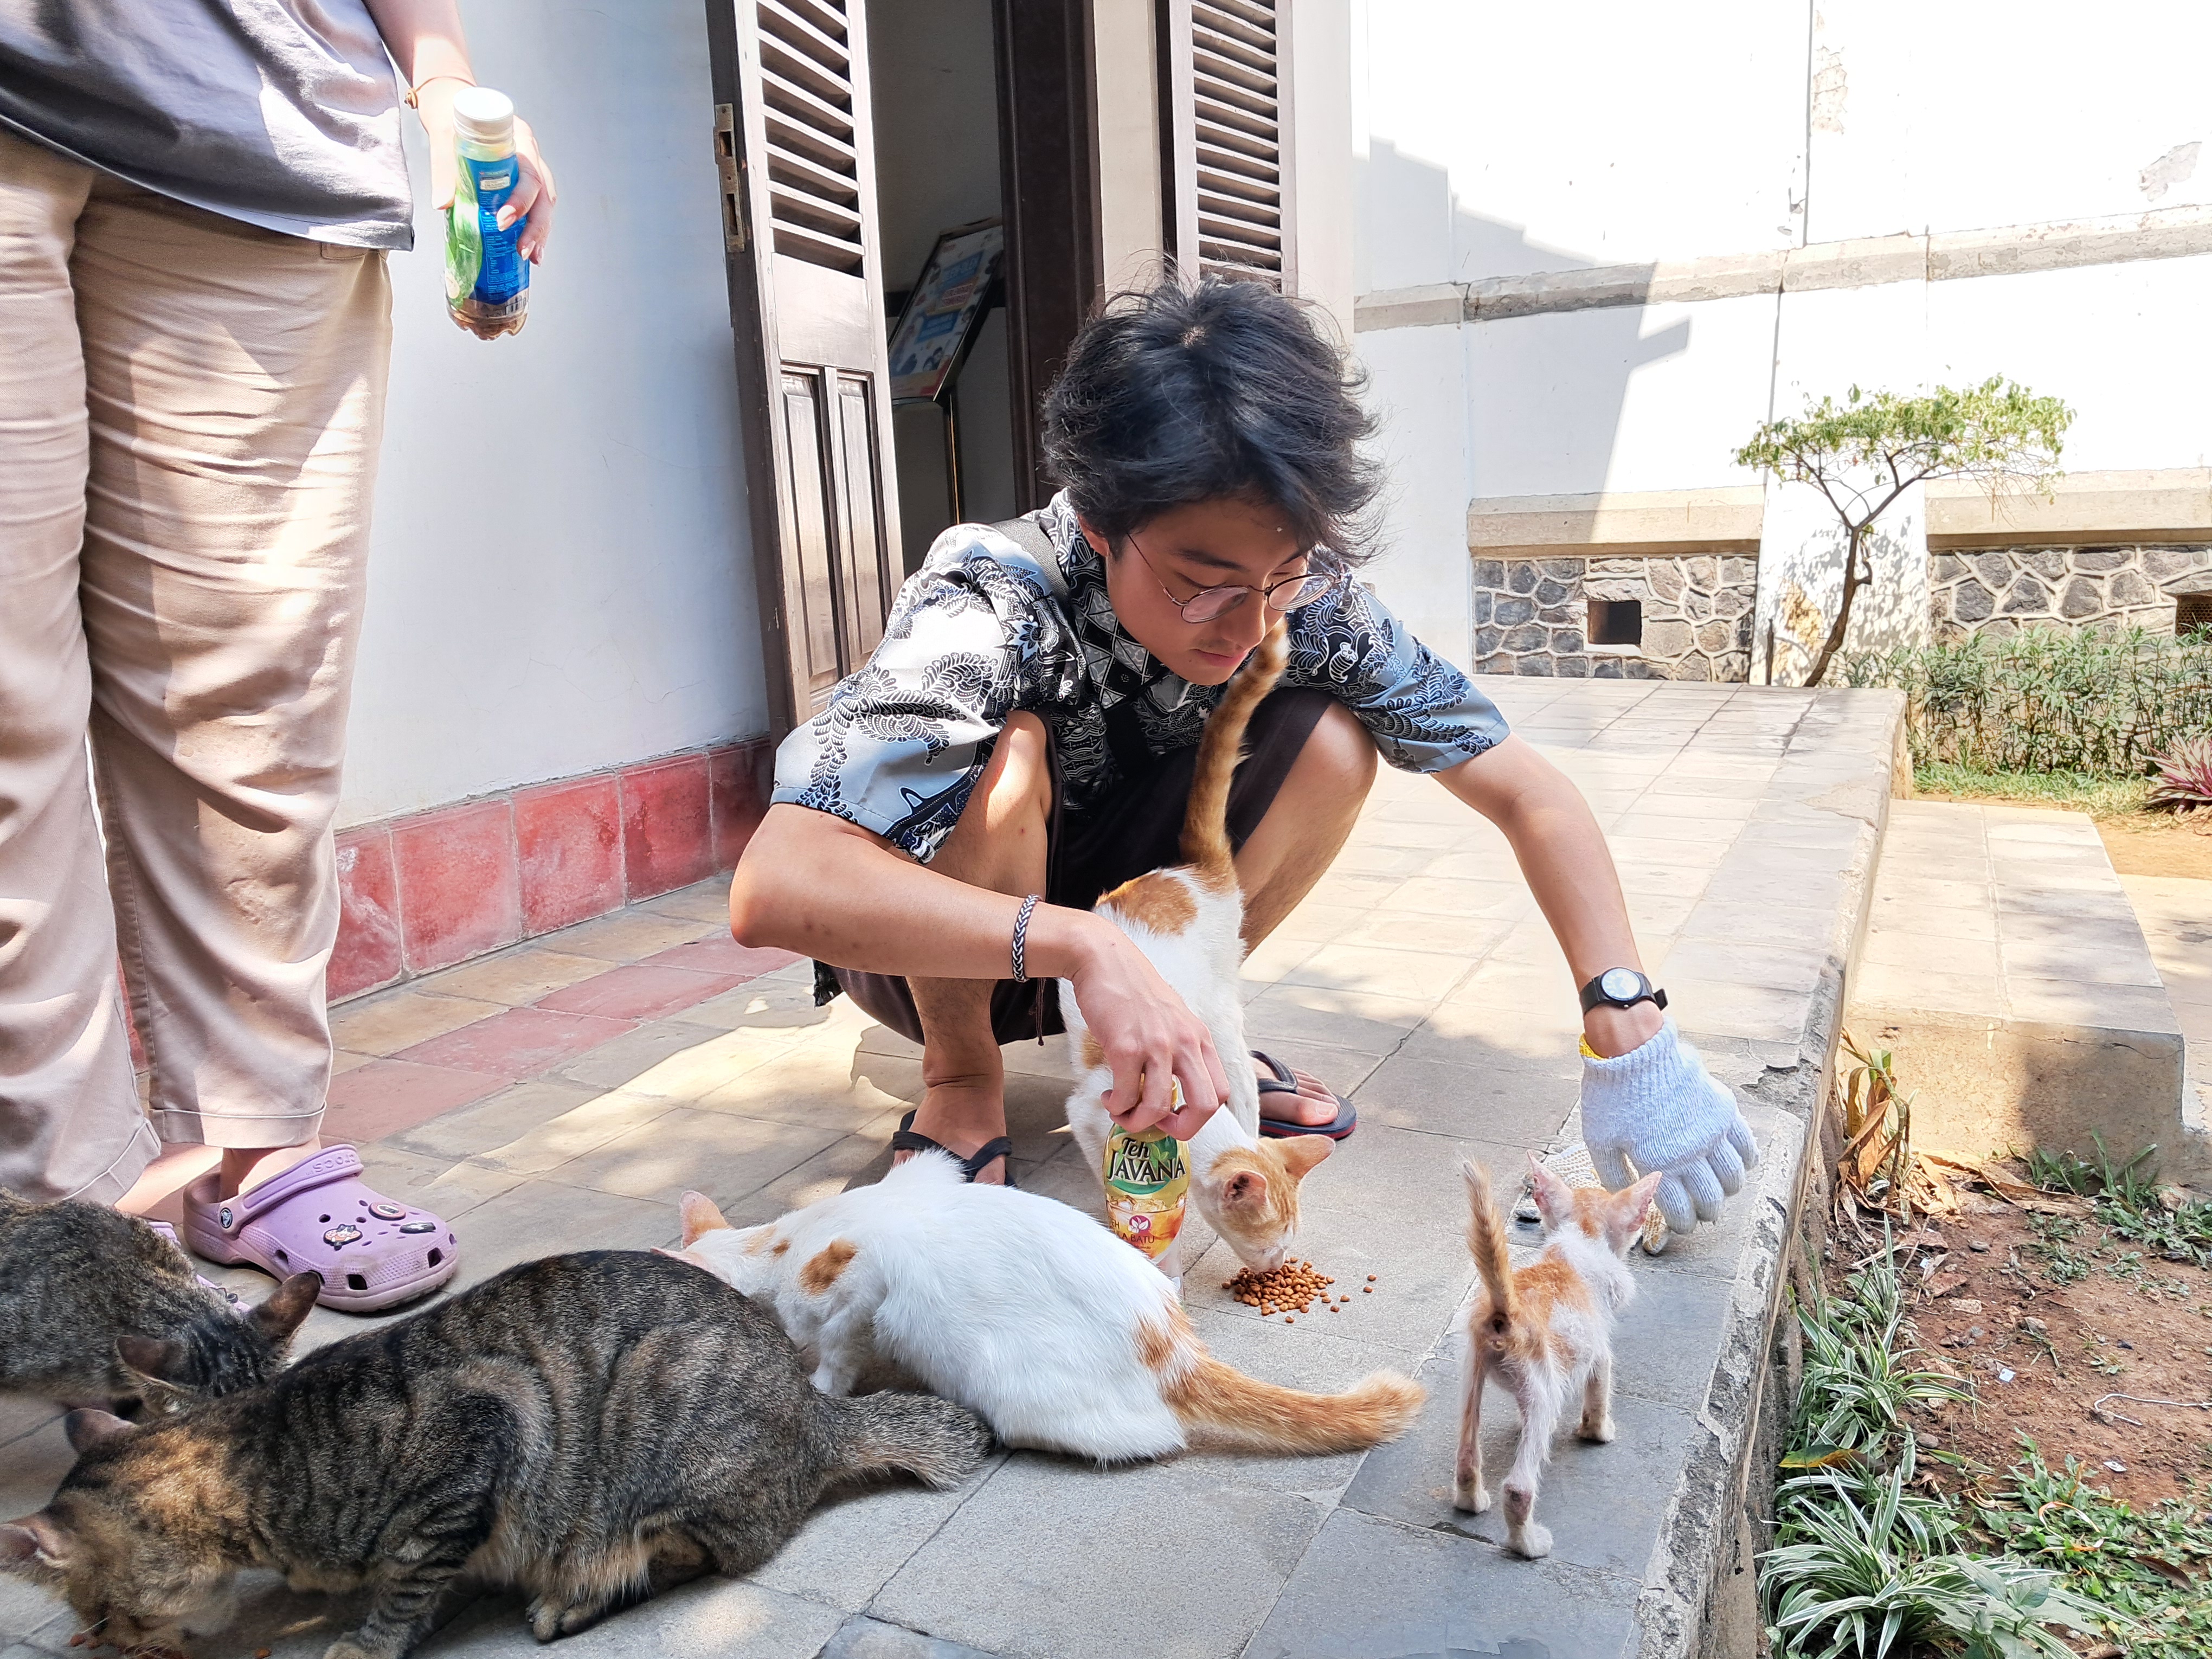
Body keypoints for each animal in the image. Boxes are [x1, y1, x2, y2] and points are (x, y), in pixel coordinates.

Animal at [0, 1251, 989, 1659]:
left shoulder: (485, 1432)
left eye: (104, 1608)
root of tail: (816, 1408)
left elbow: (408, 1584)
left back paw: (571, 1597)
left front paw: (366, 1642)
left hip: (657, 1418)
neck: (261, 1457)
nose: (104, 1640)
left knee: (676, 1558)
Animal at [671, 1153, 1424, 1465]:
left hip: (1019, 1392)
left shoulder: (861, 1282)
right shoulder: (927, 1170)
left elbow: (832, 1341)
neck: (780, 1241)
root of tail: (1173, 1345)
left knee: (1149, 1439)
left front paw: (819, 1381)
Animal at [1454, 1157, 1662, 1559]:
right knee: (1518, 1488)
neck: (1580, 1238)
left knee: (1467, 1459)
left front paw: (1523, 1425)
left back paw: (1471, 1502)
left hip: (1473, 1373)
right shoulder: (1599, 1350)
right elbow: (1599, 1392)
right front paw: (1598, 1432)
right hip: (1545, 1386)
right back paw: (1528, 1545)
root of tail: (1507, 1310)